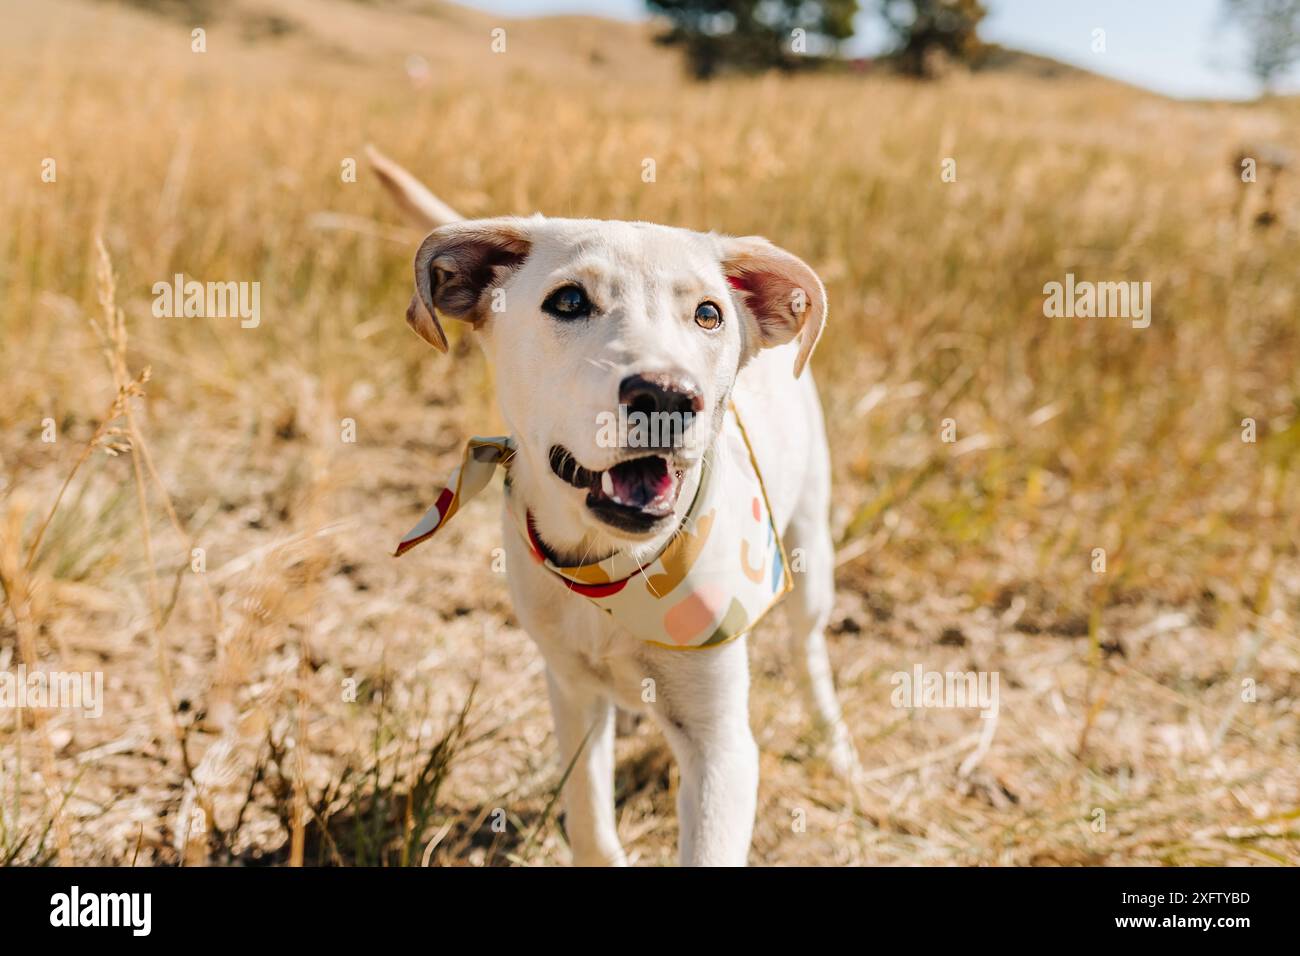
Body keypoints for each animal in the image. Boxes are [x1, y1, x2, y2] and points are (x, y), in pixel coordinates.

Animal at [371, 147, 857, 868]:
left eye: (708, 314)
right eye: (569, 300)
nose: (669, 396)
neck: (611, 570)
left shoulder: (721, 745)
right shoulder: (570, 691)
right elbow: (591, 820)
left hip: (808, 550)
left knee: (809, 651)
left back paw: (836, 744)